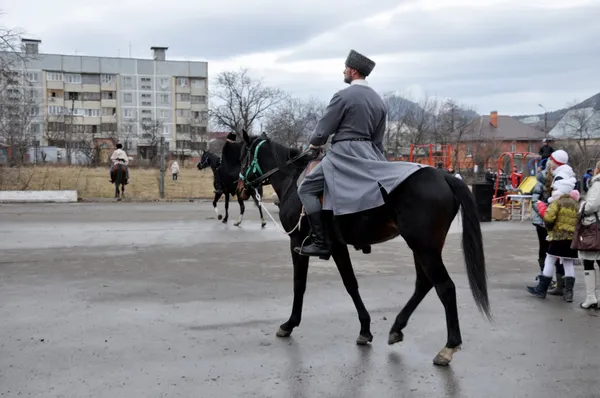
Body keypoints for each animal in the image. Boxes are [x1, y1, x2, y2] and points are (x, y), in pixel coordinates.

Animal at [236, 131, 492, 366]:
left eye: (243, 156)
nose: (239, 188)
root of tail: (443, 175)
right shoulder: (338, 246)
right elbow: (351, 284)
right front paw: (365, 329)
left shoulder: (299, 243)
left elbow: (301, 284)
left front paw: (289, 323)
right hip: (421, 248)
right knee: (424, 283)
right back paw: (397, 328)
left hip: (424, 248)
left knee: (445, 287)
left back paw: (449, 347)